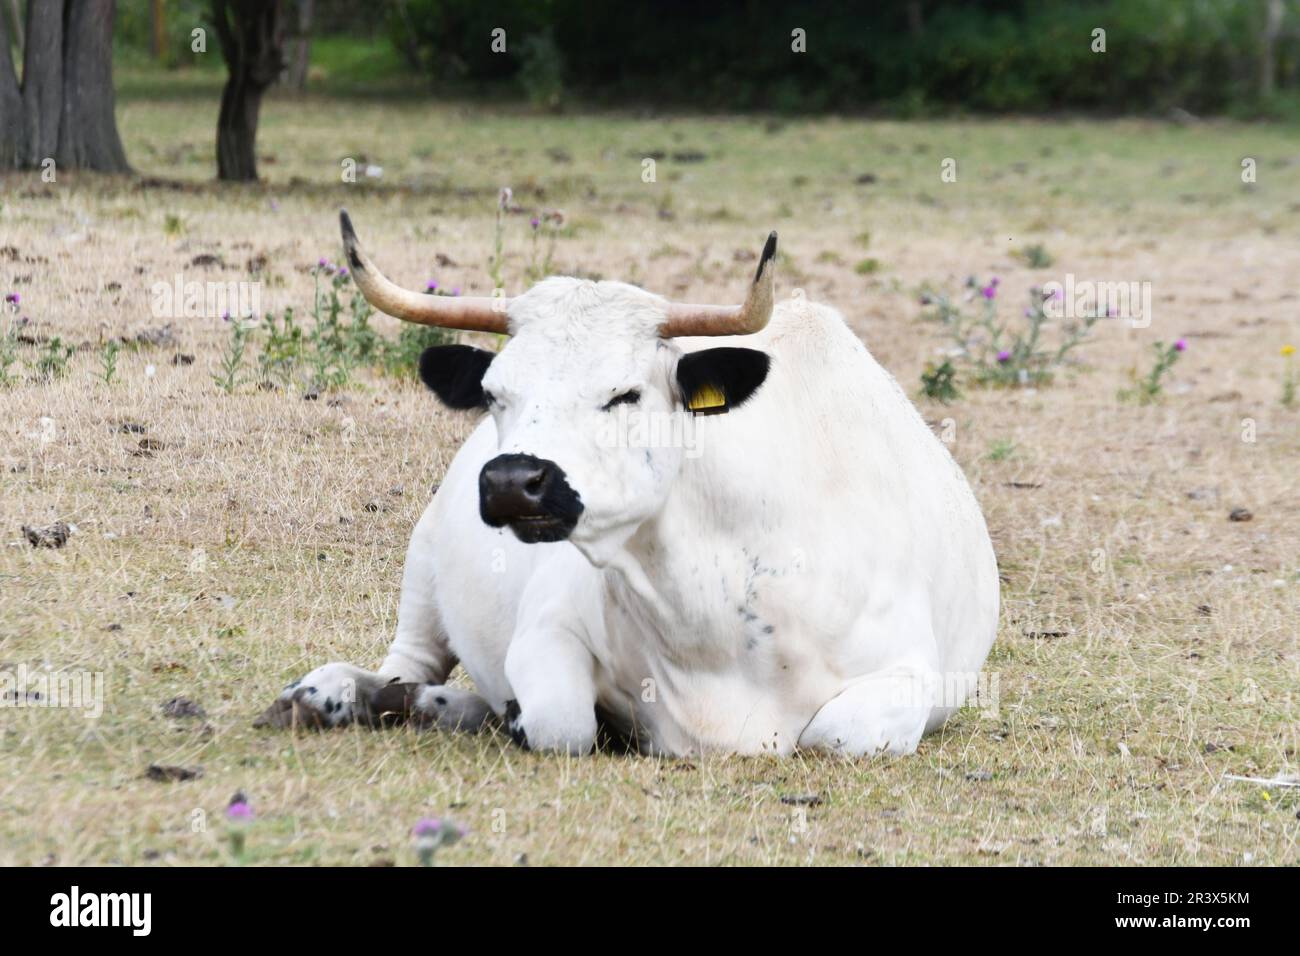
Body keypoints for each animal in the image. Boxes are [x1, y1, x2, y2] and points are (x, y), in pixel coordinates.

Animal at [256, 213, 1003, 759]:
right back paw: (341, 694)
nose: (511, 482)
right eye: (494, 393)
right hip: (424, 567)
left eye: (625, 394)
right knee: (404, 664)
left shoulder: (909, 673)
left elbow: (838, 735)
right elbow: (560, 722)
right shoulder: (549, 626)